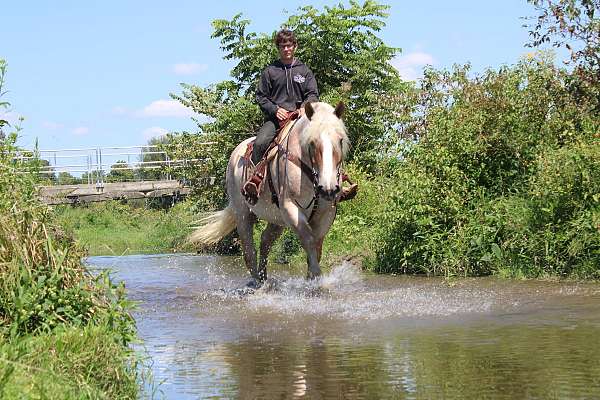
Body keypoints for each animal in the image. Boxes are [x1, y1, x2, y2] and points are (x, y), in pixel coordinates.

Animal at [190, 101, 350, 286]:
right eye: (312, 142)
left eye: (340, 140)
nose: (328, 188)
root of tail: (235, 154)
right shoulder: (291, 208)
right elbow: (308, 241)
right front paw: (316, 278)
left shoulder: (326, 213)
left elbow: (316, 248)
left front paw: (313, 280)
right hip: (243, 214)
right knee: (249, 251)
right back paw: (258, 284)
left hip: (277, 219)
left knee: (265, 241)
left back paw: (264, 278)